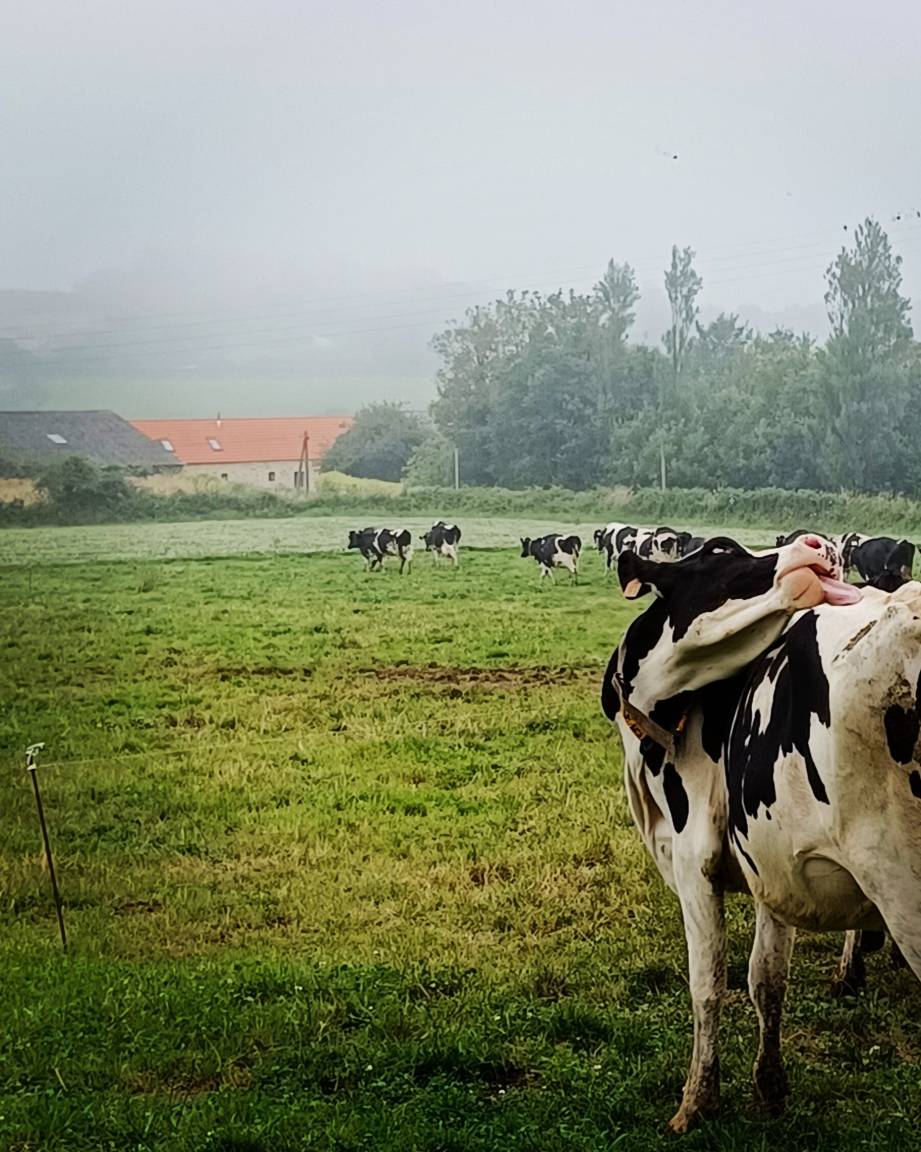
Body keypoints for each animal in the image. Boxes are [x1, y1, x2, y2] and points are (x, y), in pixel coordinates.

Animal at [601, 534, 921, 1130]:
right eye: (719, 551)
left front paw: (697, 1101)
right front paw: (770, 1087)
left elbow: (709, 985)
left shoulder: (694, 865)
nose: (819, 542)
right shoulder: (774, 865)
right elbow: (766, 981)